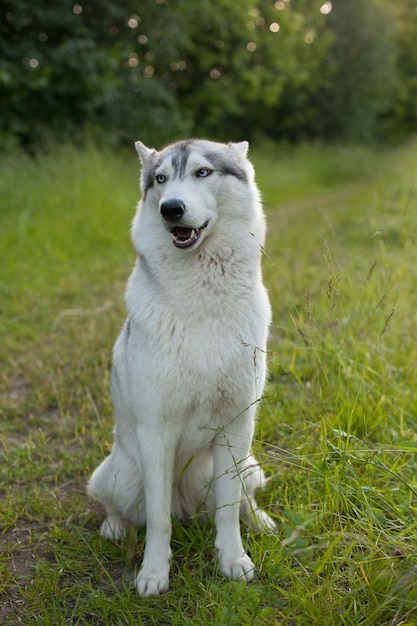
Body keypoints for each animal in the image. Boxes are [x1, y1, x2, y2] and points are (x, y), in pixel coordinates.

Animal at [88, 138, 272, 596]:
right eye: (160, 179)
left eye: (203, 172)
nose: (169, 208)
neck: (201, 300)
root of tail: (188, 504)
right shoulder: (157, 433)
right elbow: (158, 521)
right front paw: (154, 574)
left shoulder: (236, 425)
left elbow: (228, 509)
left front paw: (233, 560)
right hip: (118, 474)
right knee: (124, 508)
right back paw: (114, 528)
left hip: (248, 463)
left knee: (243, 498)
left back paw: (260, 522)